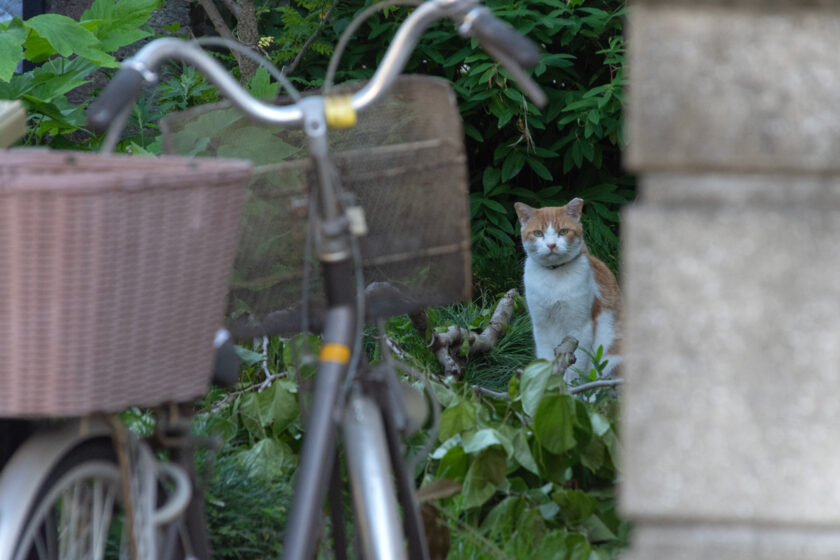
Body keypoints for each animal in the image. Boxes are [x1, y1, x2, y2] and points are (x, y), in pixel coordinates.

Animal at [516, 199, 620, 382]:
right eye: (538, 233)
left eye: (563, 231)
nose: (551, 245)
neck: (554, 276)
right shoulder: (541, 326)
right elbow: (545, 358)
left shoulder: (580, 329)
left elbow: (574, 369)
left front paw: (570, 386)